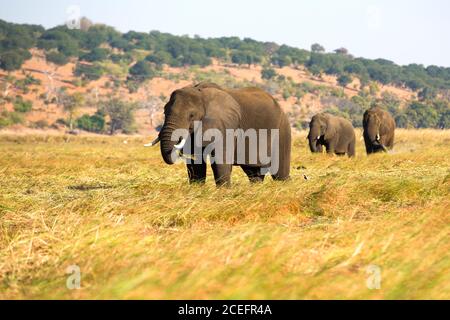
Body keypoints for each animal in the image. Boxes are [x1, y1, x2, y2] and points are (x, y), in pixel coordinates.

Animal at [146, 82, 290, 186]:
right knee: (254, 172)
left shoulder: (226, 125)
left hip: (282, 129)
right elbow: (195, 163)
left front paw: (224, 193)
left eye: (191, 115)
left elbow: (221, 160)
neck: (200, 93)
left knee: (279, 173)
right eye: (164, 112)